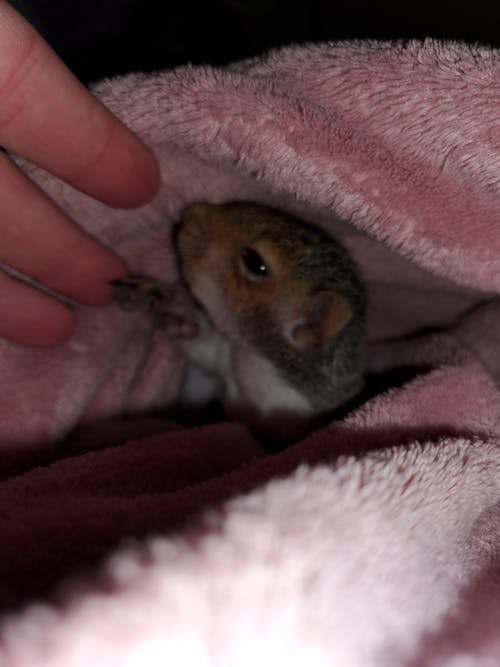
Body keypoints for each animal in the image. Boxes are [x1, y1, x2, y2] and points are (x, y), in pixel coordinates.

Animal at [113, 202, 366, 444]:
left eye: (255, 263)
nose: (192, 213)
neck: (253, 360)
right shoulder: (226, 358)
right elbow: (204, 348)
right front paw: (177, 315)